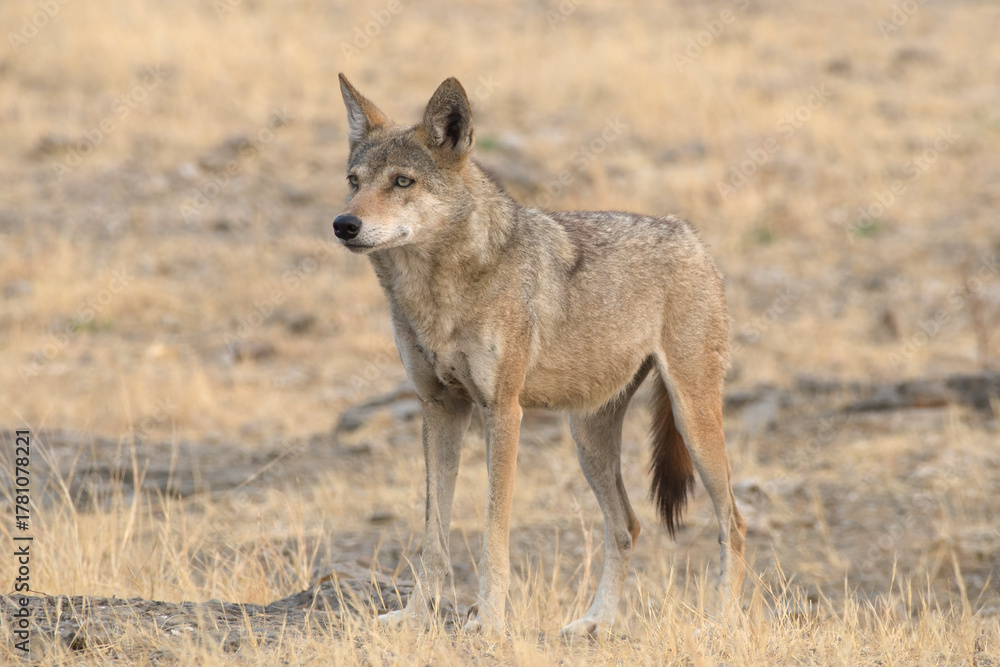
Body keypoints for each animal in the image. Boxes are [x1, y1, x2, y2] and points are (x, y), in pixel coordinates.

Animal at [334, 74, 746, 636]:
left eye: (402, 182)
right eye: (354, 180)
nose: (343, 224)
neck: (436, 293)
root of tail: (689, 234)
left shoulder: (503, 411)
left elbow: (493, 533)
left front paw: (488, 620)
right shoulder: (440, 407)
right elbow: (433, 536)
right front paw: (417, 616)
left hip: (692, 417)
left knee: (733, 523)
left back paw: (720, 625)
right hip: (588, 438)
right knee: (628, 526)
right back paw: (593, 624)